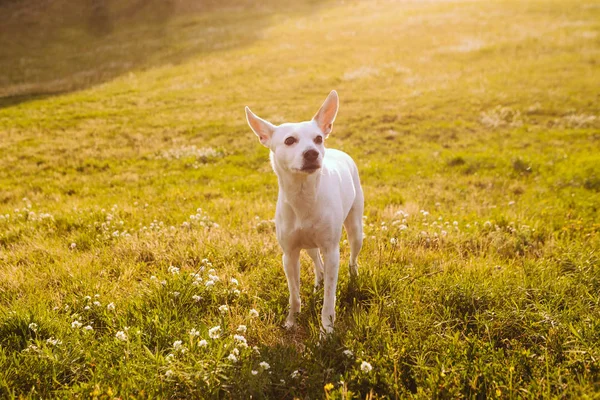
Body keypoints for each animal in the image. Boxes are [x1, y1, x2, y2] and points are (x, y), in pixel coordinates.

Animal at [246, 91, 364, 334]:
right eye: (289, 140)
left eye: (318, 139)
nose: (313, 153)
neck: (303, 196)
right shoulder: (289, 255)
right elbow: (294, 294)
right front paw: (292, 320)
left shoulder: (332, 252)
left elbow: (329, 298)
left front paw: (326, 330)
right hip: (309, 246)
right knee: (316, 261)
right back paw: (318, 281)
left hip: (355, 230)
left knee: (352, 258)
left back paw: (353, 278)